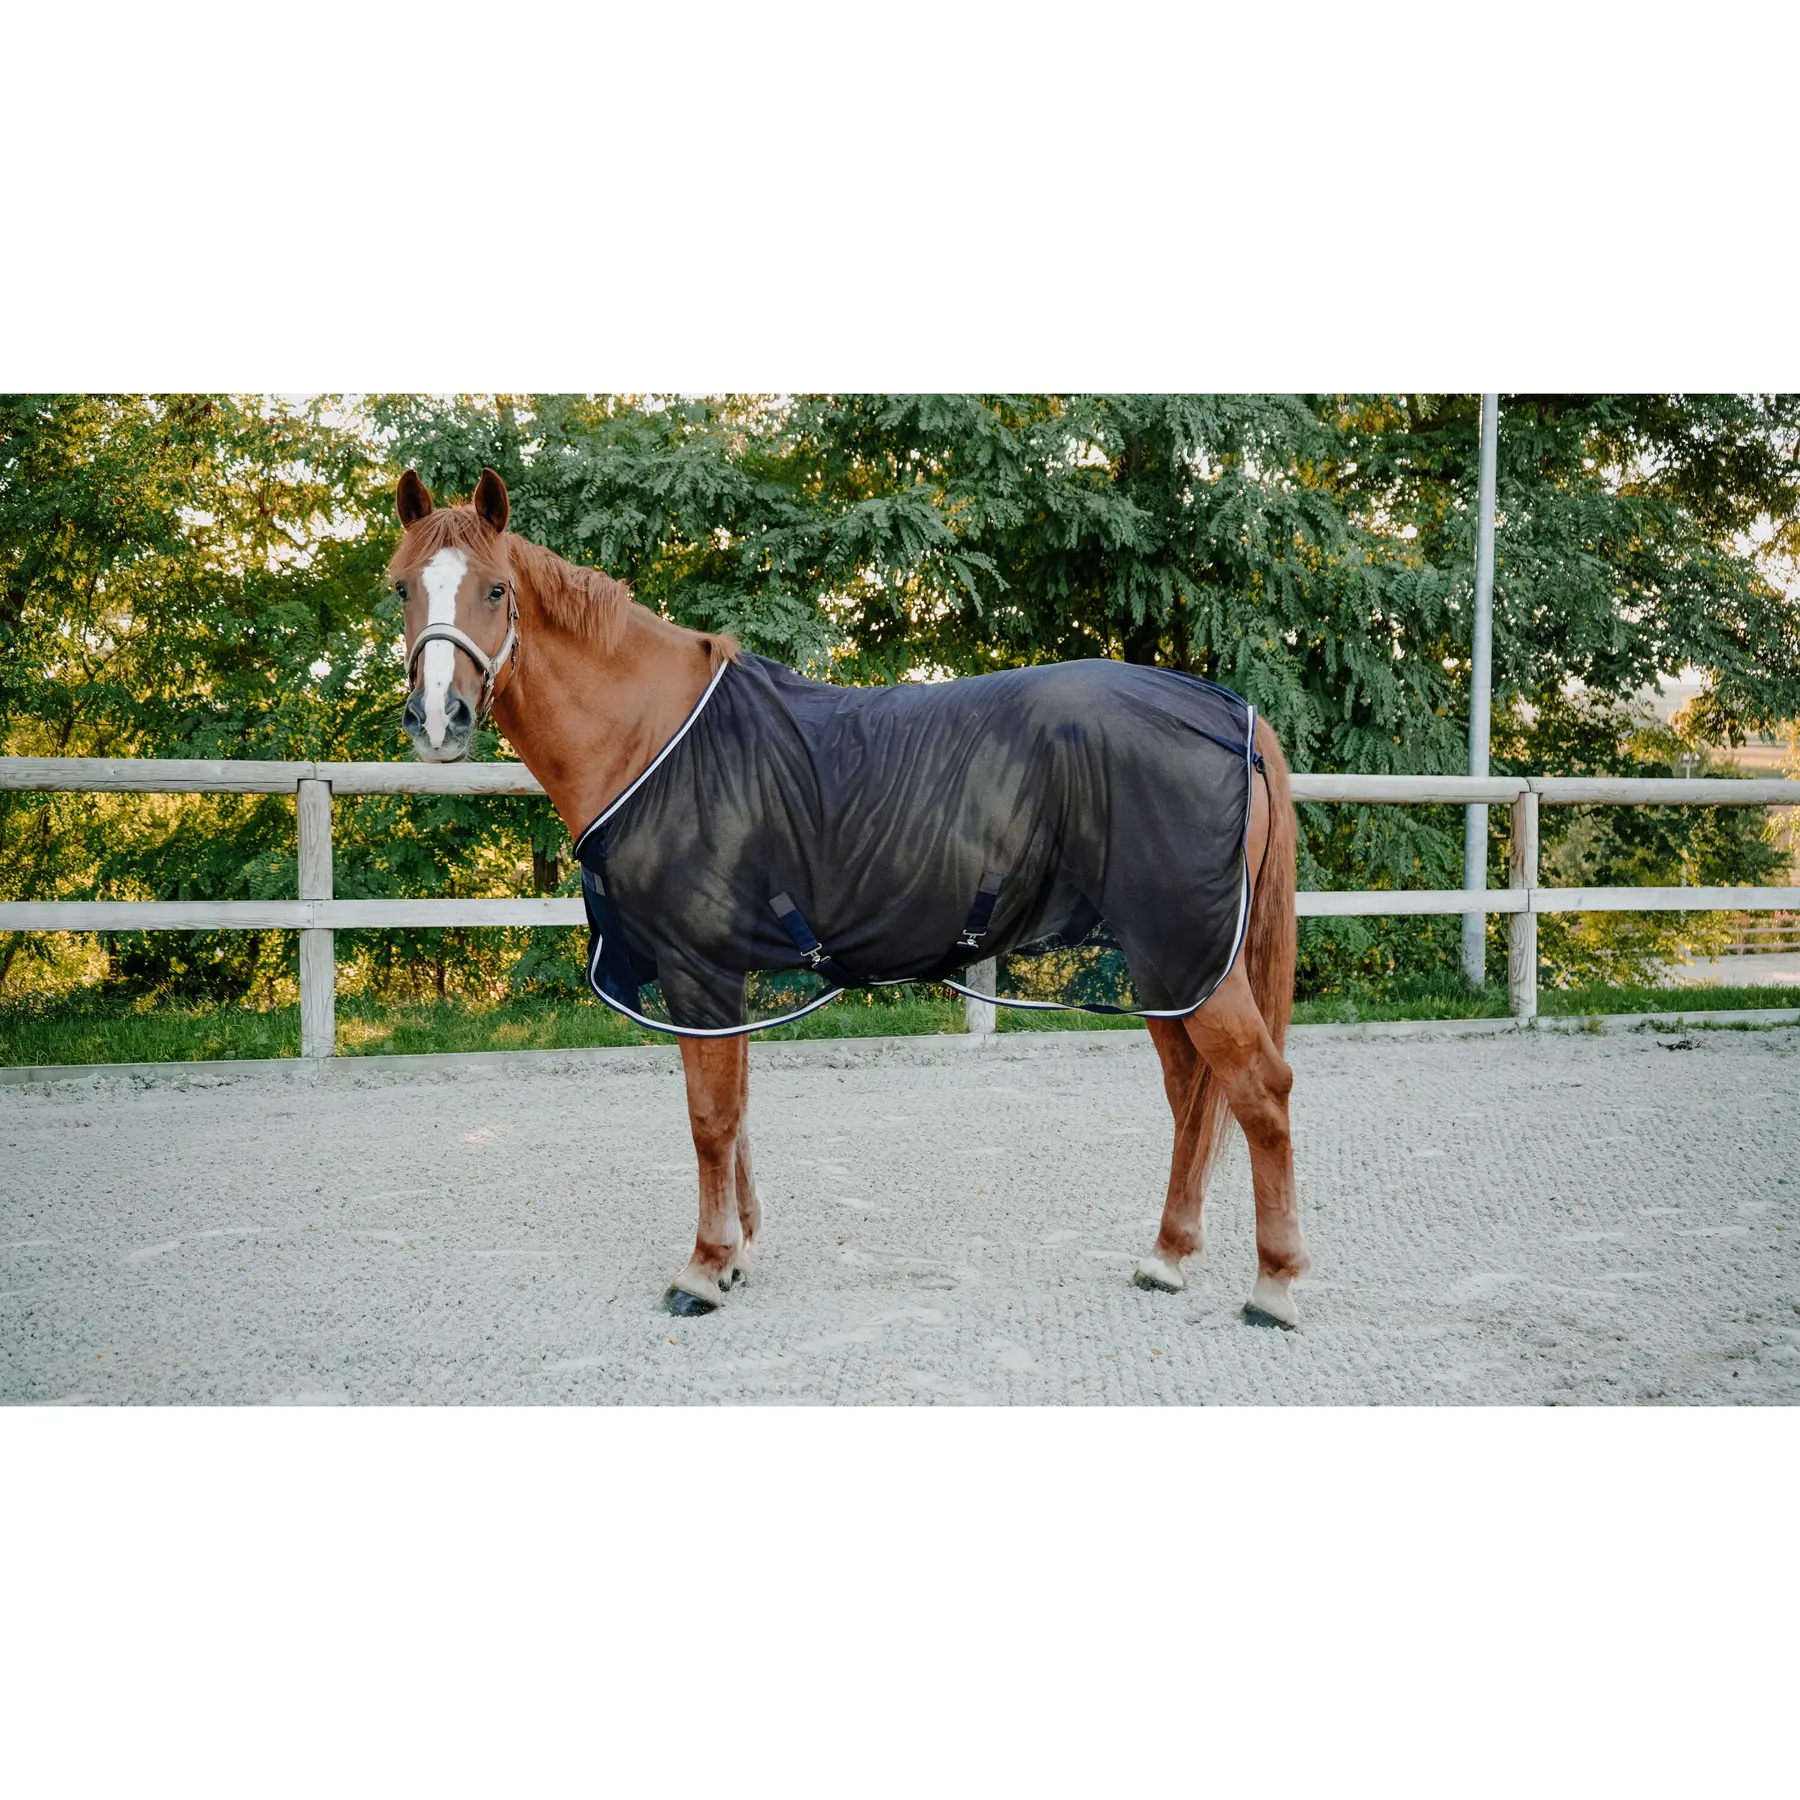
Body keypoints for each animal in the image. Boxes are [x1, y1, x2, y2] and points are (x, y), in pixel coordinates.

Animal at [391, 467, 1310, 1327]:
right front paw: (738, 1252)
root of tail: (1232, 716)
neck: (651, 738)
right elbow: (737, 1113)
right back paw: (1168, 1256)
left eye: (495, 589)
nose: (438, 720)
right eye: (402, 587)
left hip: (1189, 954)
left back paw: (1274, 1285)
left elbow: (710, 1119)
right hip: (1166, 967)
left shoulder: (697, 969)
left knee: (1260, 1089)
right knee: (1193, 1093)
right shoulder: (721, 980)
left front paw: (704, 1269)